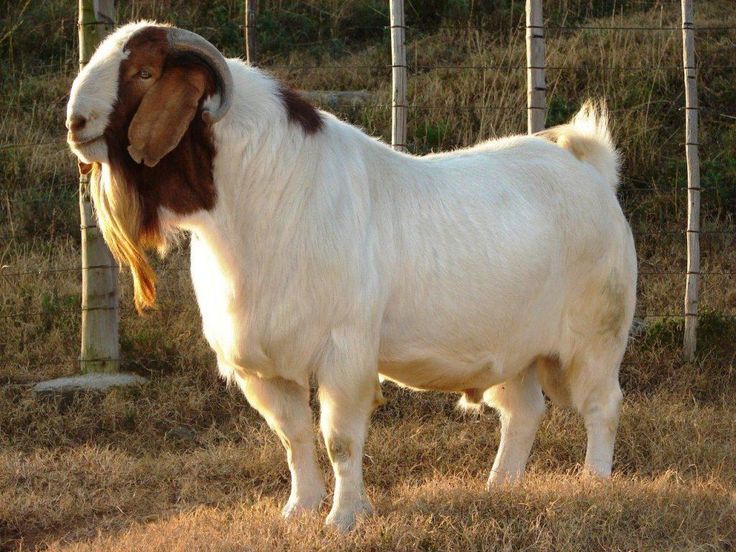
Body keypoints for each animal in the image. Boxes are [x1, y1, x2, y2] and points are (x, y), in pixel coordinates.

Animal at [66, 21, 637, 531]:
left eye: (143, 72)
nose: (75, 122)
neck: (265, 193)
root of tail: (590, 169)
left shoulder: (345, 351)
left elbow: (340, 438)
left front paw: (343, 518)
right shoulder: (263, 366)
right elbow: (293, 437)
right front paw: (299, 511)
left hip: (595, 334)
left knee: (602, 405)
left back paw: (593, 481)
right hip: (516, 349)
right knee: (523, 412)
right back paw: (499, 487)